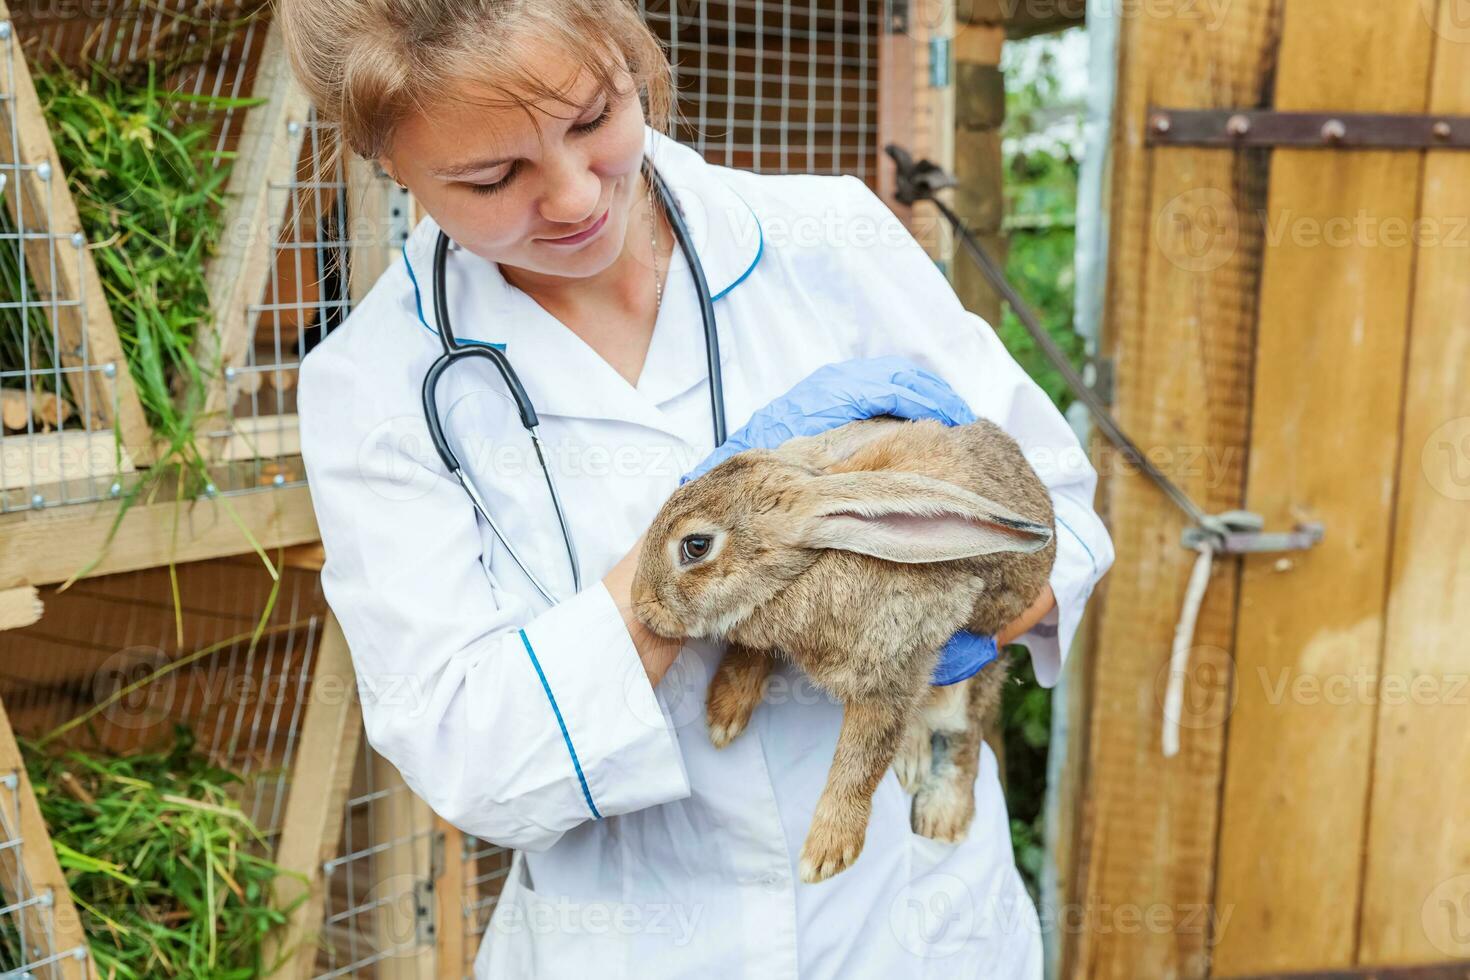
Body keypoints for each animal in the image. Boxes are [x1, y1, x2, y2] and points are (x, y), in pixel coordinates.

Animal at [632, 417, 1058, 887]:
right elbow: (754, 652)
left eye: (696, 546)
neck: (814, 561)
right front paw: (725, 714)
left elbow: (861, 760)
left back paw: (942, 818)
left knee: (965, 732)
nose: (639, 605)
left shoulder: (894, 670)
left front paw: (827, 853)